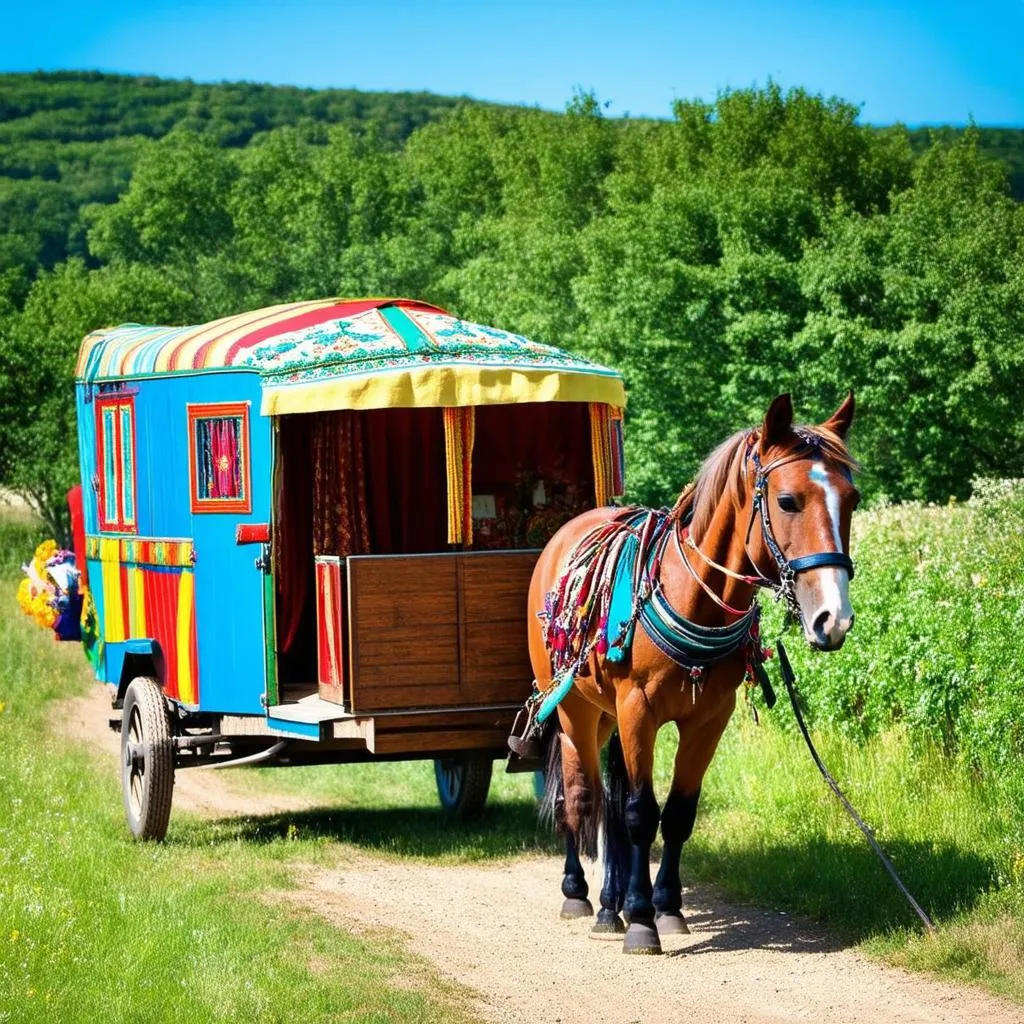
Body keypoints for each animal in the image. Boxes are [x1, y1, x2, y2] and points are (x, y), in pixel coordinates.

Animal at [528, 391, 856, 950]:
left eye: (851, 500)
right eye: (788, 501)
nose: (833, 618)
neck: (691, 595)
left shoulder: (708, 720)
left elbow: (678, 815)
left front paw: (665, 907)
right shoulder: (638, 710)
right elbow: (640, 814)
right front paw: (642, 921)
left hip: (611, 717)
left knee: (610, 801)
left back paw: (612, 902)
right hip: (575, 709)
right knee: (582, 794)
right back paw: (582, 894)